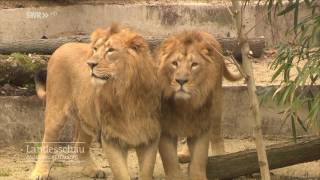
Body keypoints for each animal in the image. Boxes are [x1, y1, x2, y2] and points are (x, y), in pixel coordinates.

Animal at [30, 24, 160, 180]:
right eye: (95, 49)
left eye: (111, 50)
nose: (90, 64)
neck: (127, 96)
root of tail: (61, 46)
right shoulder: (111, 138)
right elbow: (121, 173)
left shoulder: (150, 137)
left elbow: (146, 171)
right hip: (56, 111)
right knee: (47, 143)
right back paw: (39, 172)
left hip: (86, 117)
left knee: (79, 144)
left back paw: (92, 170)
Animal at [156, 31, 241, 180]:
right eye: (174, 63)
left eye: (194, 64)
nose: (181, 81)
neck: (184, 105)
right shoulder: (165, 127)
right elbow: (169, 159)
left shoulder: (203, 124)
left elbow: (199, 159)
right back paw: (184, 154)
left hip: (216, 103)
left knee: (217, 133)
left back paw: (221, 157)